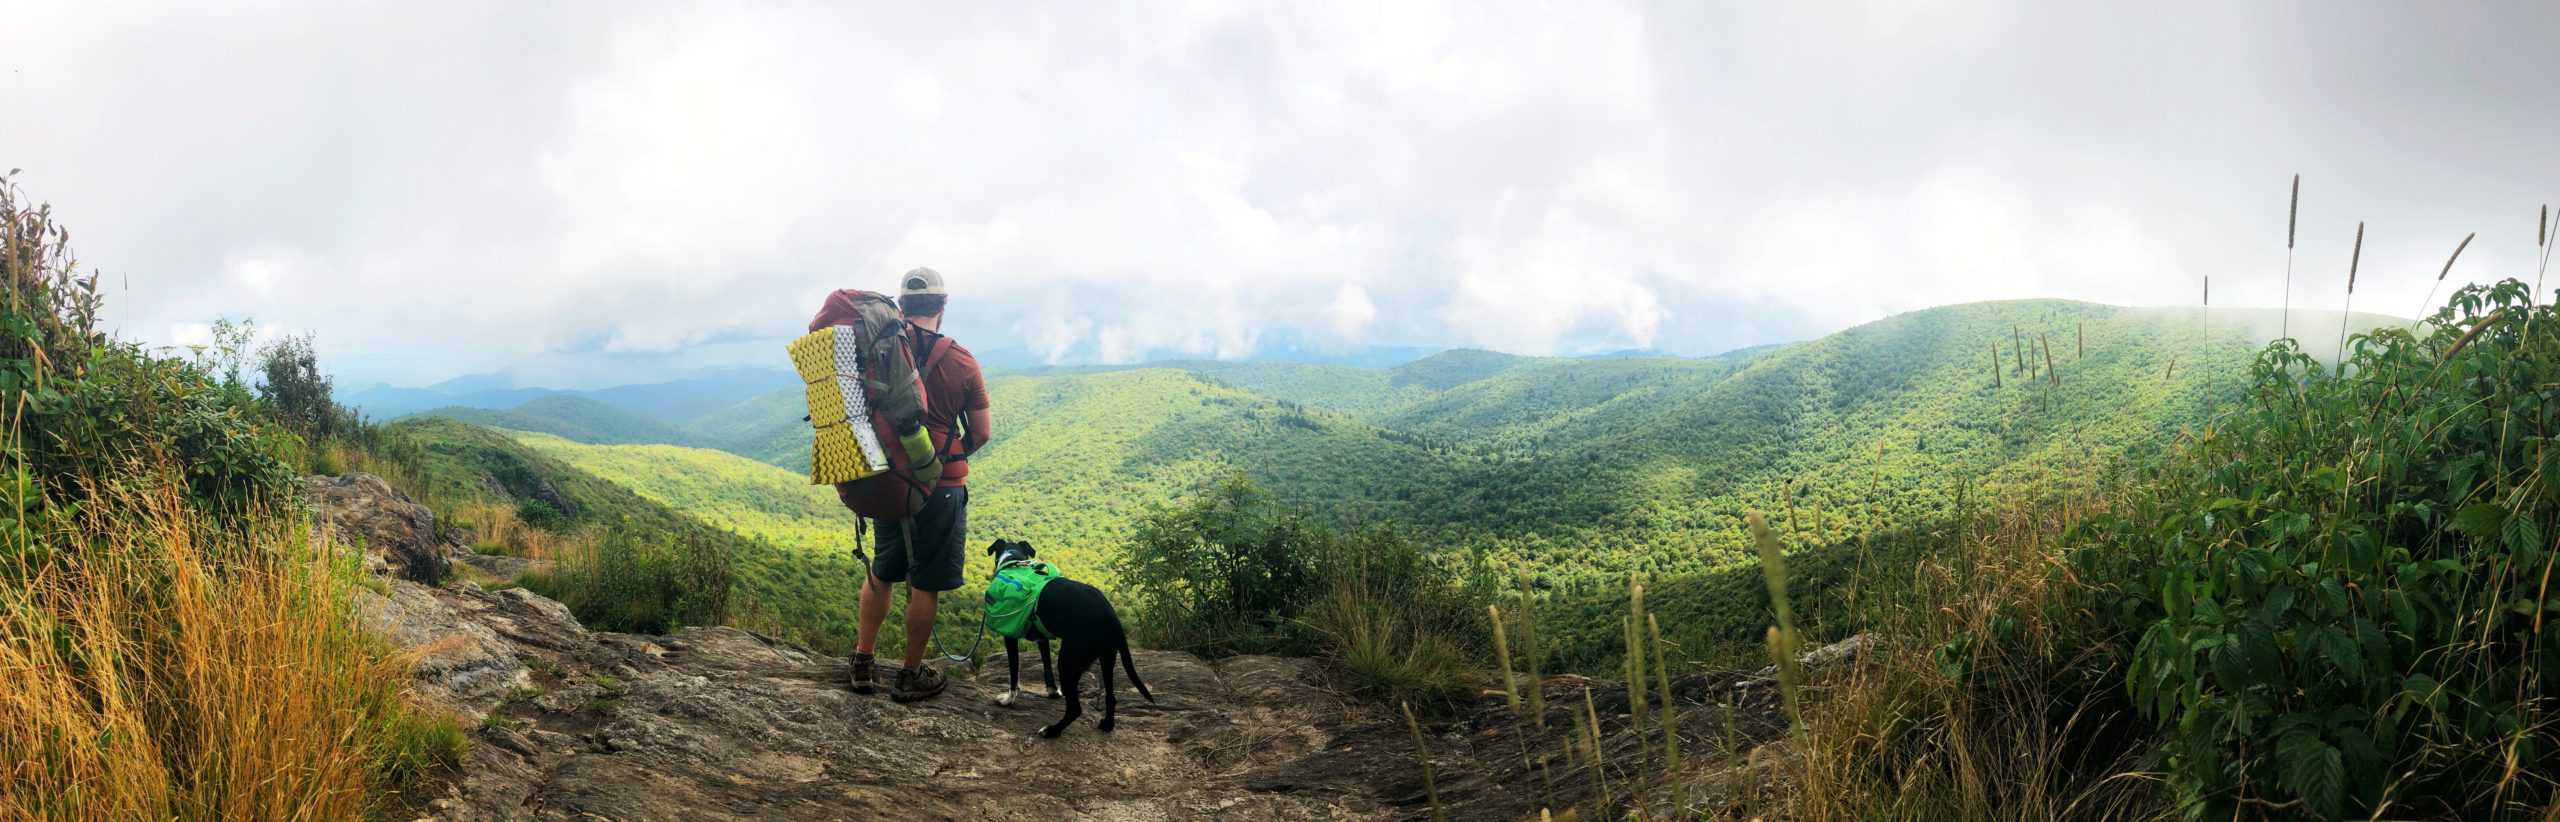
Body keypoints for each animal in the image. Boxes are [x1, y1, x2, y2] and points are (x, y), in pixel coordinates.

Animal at [983, 537, 1157, 737]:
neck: (1013, 561)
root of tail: (1111, 616)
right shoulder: (1043, 639)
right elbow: (1047, 667)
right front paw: (1052, 692)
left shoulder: (1009, 637)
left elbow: (1014, 673)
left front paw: (1008, 699)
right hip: (1106, 658)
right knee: (1110, 697)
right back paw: (1107, 724)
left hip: (1068, 660)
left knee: (1075, 708)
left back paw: (1052, 730)